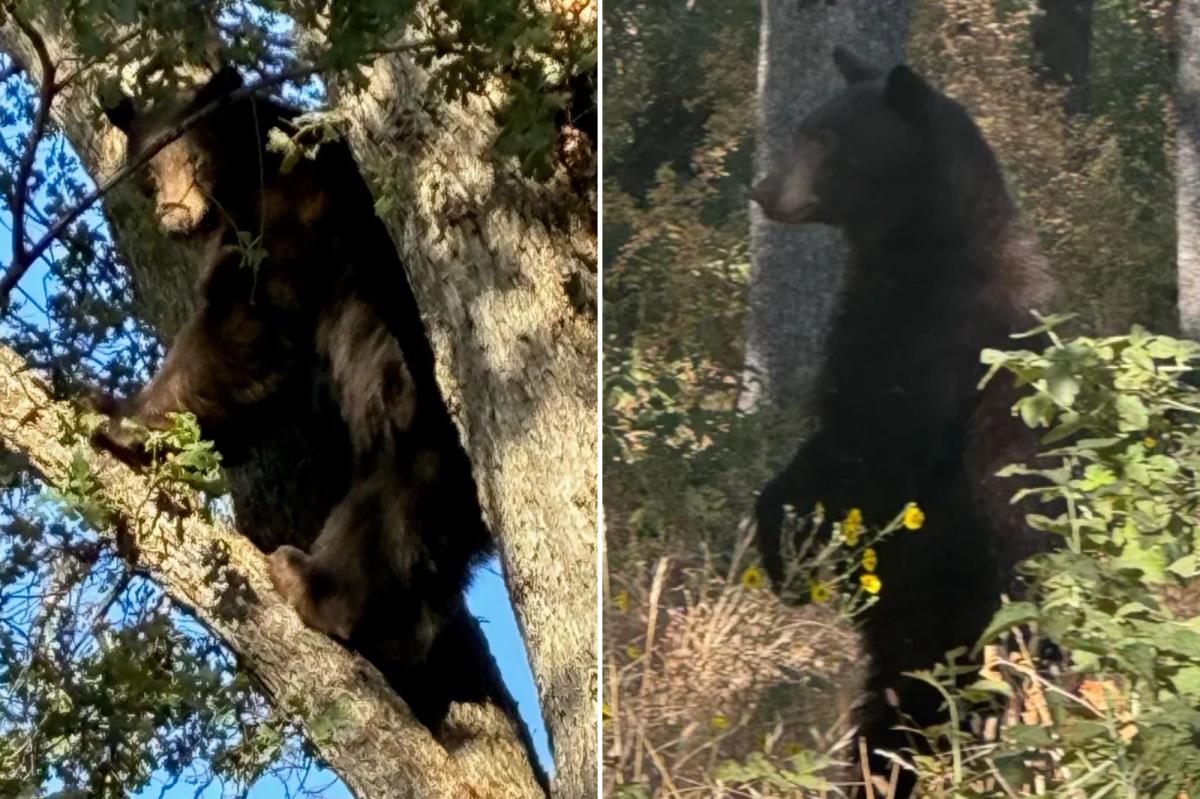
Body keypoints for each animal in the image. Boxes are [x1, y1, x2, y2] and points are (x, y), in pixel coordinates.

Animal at [96, 67, 545, 787]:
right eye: (147, 168)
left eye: (188, 155)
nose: (170, 213)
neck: (250, 170)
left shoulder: (292, 220)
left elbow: (244, 327)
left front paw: (124, 419)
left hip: (423, 393)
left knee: (397, 490)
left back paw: (314, 584)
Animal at [751, 47, 1055, 792]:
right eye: (805, 127)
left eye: (825, 137)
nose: (764, 190)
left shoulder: (930, 347)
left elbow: (866, 447)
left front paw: (786, 551)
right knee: (898, 718)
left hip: (958, 610)